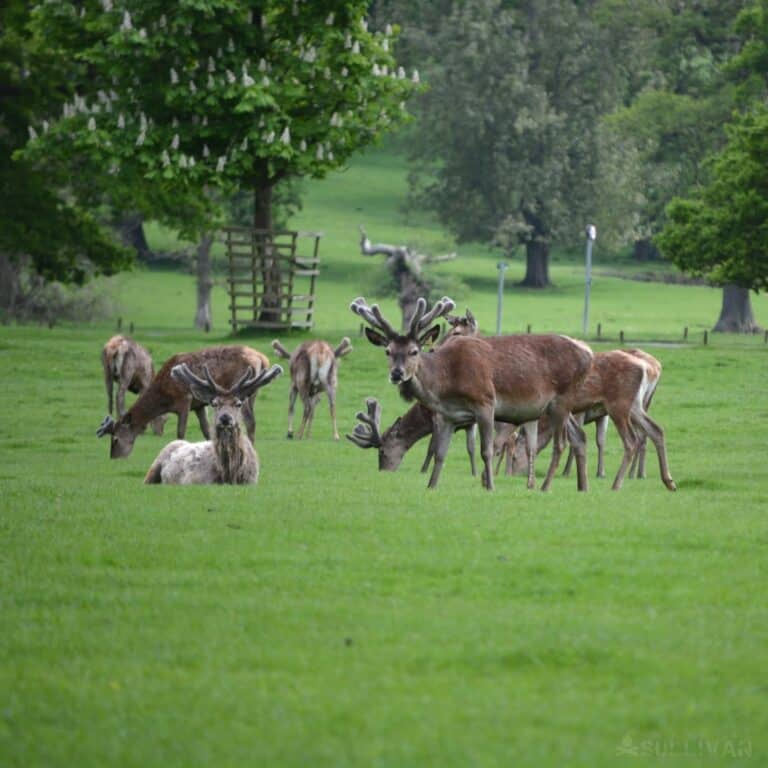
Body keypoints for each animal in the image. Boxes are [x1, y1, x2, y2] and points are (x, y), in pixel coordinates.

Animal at [97, 344, 270, 460]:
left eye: (115, 439)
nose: (114, 457)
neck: (165, 395)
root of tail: (262, 359)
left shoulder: (184, 399)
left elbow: (180, 432)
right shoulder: (199, 406)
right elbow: (207, 431)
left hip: (241, 390)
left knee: (250, 421)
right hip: (252, 393)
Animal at [143, 364, 282, 484]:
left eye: (238, 404)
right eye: (214, 403)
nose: (225, 418)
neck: (229, 475)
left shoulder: (251, 482)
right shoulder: (195, 481)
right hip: (155, 463)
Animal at [348, 294, 592, 492]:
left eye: (414, 351)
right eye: (388, 351)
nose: (397, 374)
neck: (445, 385)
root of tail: (588, 353)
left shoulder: (485, 402)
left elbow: (486, 450)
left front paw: (490, 486)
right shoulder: (448, 415)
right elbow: (440, 453)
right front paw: (431, 485)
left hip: (562, 399)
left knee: (560, 444)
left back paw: (545, 486)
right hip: (560, 406)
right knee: (579, 436)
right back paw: (582, 487)